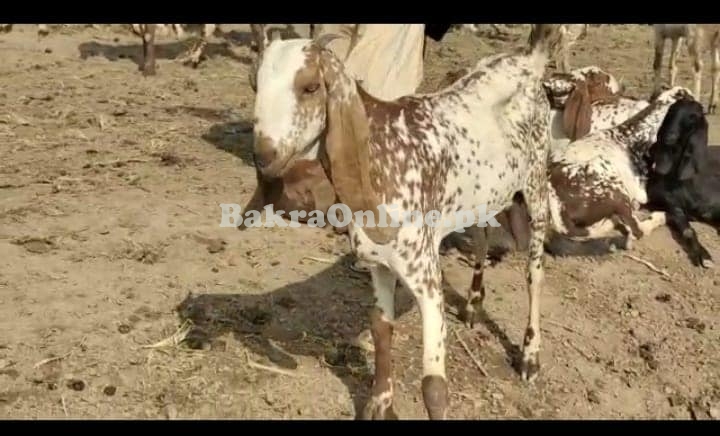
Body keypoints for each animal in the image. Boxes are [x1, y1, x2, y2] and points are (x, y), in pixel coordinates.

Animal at [252, 24, 564, 418]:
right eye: (255, 84)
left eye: (310, 87)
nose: (264, 155)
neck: (384, 153)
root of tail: (529, 58)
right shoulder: (379, 265)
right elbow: (381, 329)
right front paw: (380, 403)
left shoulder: (426, 278)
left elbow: (434, 386)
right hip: (482, 191)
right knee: (481, 234)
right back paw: (474, 302)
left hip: (536, 181)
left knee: (534, 274)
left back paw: (529, 355)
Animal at [644, 97, 716, 268]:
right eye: (671, 111)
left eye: (693, 117)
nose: (669, 137)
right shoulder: (673, 205)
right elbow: (688, 230)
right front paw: (703, 255)